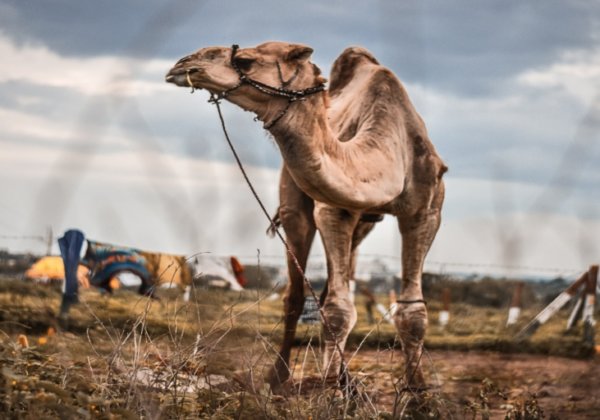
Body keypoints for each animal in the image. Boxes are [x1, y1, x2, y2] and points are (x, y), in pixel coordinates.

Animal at [165, 41, 446, 392]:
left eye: (245, 60)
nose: (183, 64)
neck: (389, 150)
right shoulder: (333, 210)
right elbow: (338, 310)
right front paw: (331, 390)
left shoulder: (426, 211)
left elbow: (413, 313)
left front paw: (417, 389)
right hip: (294, 204)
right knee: (296, 296)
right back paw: (280, 377)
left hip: (363, 224)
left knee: (330, 288)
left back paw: (344, 378)